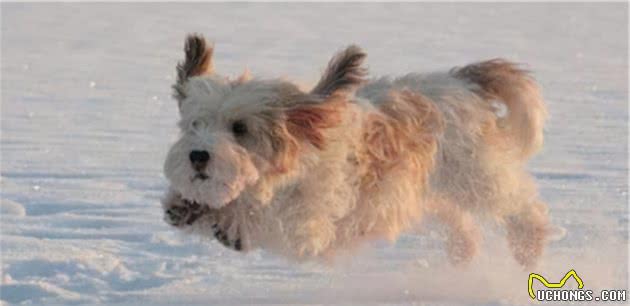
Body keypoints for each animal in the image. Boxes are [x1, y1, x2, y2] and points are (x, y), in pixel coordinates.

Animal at [164, 34, 552, 268]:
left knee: (523, 206)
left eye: (240, 128)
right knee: (460, 219)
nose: (198, 156)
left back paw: (528, 246)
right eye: (195, 124)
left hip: (477, 175)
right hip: (431, 188)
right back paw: (463, 250)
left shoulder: (307, 225)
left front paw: (229, 219)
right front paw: (185, 205)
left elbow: (261, 216)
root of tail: (461, 80)